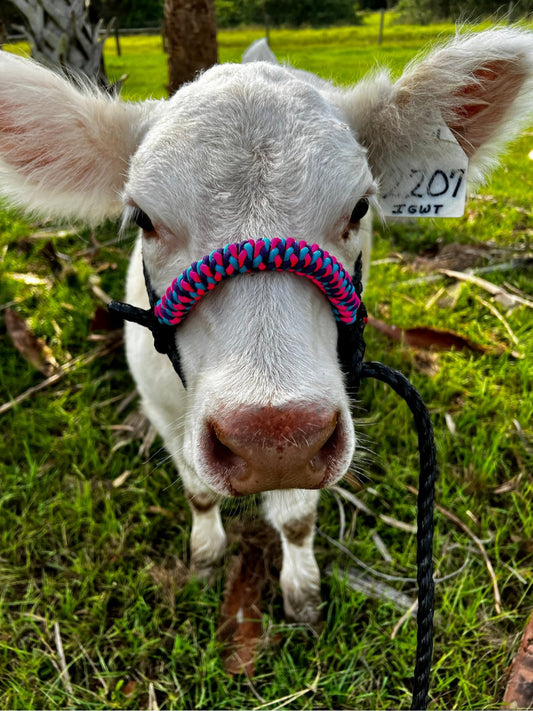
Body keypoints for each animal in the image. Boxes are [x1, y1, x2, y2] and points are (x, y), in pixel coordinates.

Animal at [0, 30, 528, 624]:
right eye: (143, 219)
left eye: (359, 208)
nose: (273, 440)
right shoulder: (161, 405)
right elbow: (199, 494)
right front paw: (205, 556)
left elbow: (296, 520)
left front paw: (303, 591)